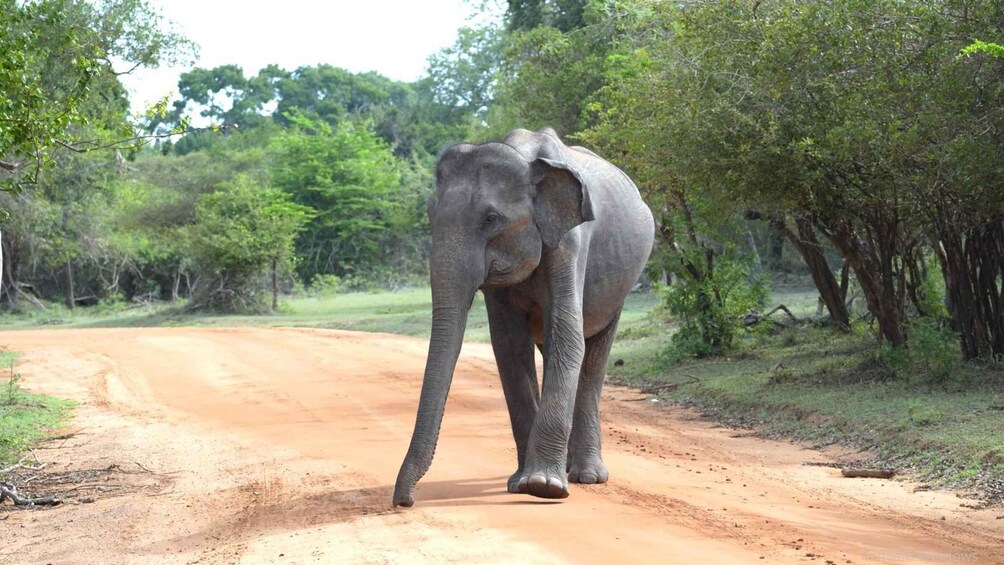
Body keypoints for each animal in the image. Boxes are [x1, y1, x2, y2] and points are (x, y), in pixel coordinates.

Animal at [392, 127, 654, 507]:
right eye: (430, 214)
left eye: (491, 219)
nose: (405, 501)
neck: (524, 159)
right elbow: (509, 348)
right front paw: (524, 483)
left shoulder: (570, 244)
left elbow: (567, 338)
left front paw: (543, 487)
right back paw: (568, 471)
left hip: (622, 287)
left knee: (593, 358)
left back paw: (586, 476)